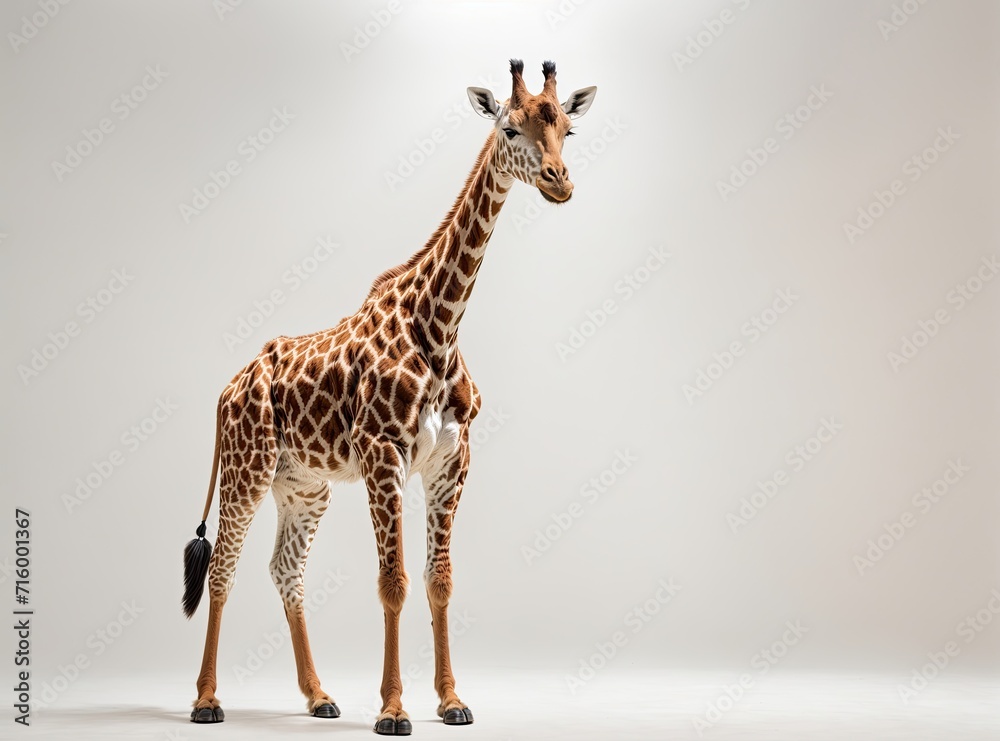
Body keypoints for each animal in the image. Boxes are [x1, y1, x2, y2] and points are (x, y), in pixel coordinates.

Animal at [180, 59, 596, 735]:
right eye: (509, 128)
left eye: (567, 130)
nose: (560, 183)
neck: (440, 326)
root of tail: (227, 386)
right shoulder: (384, 456)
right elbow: (393, 581)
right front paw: (394, 709)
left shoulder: (451, 462)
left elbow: (439, 580)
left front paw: (451, 701)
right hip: (247, 468)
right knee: (222, 568)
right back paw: (207, 700)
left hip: (304, 486)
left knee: (285, 569)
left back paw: (318, 696)